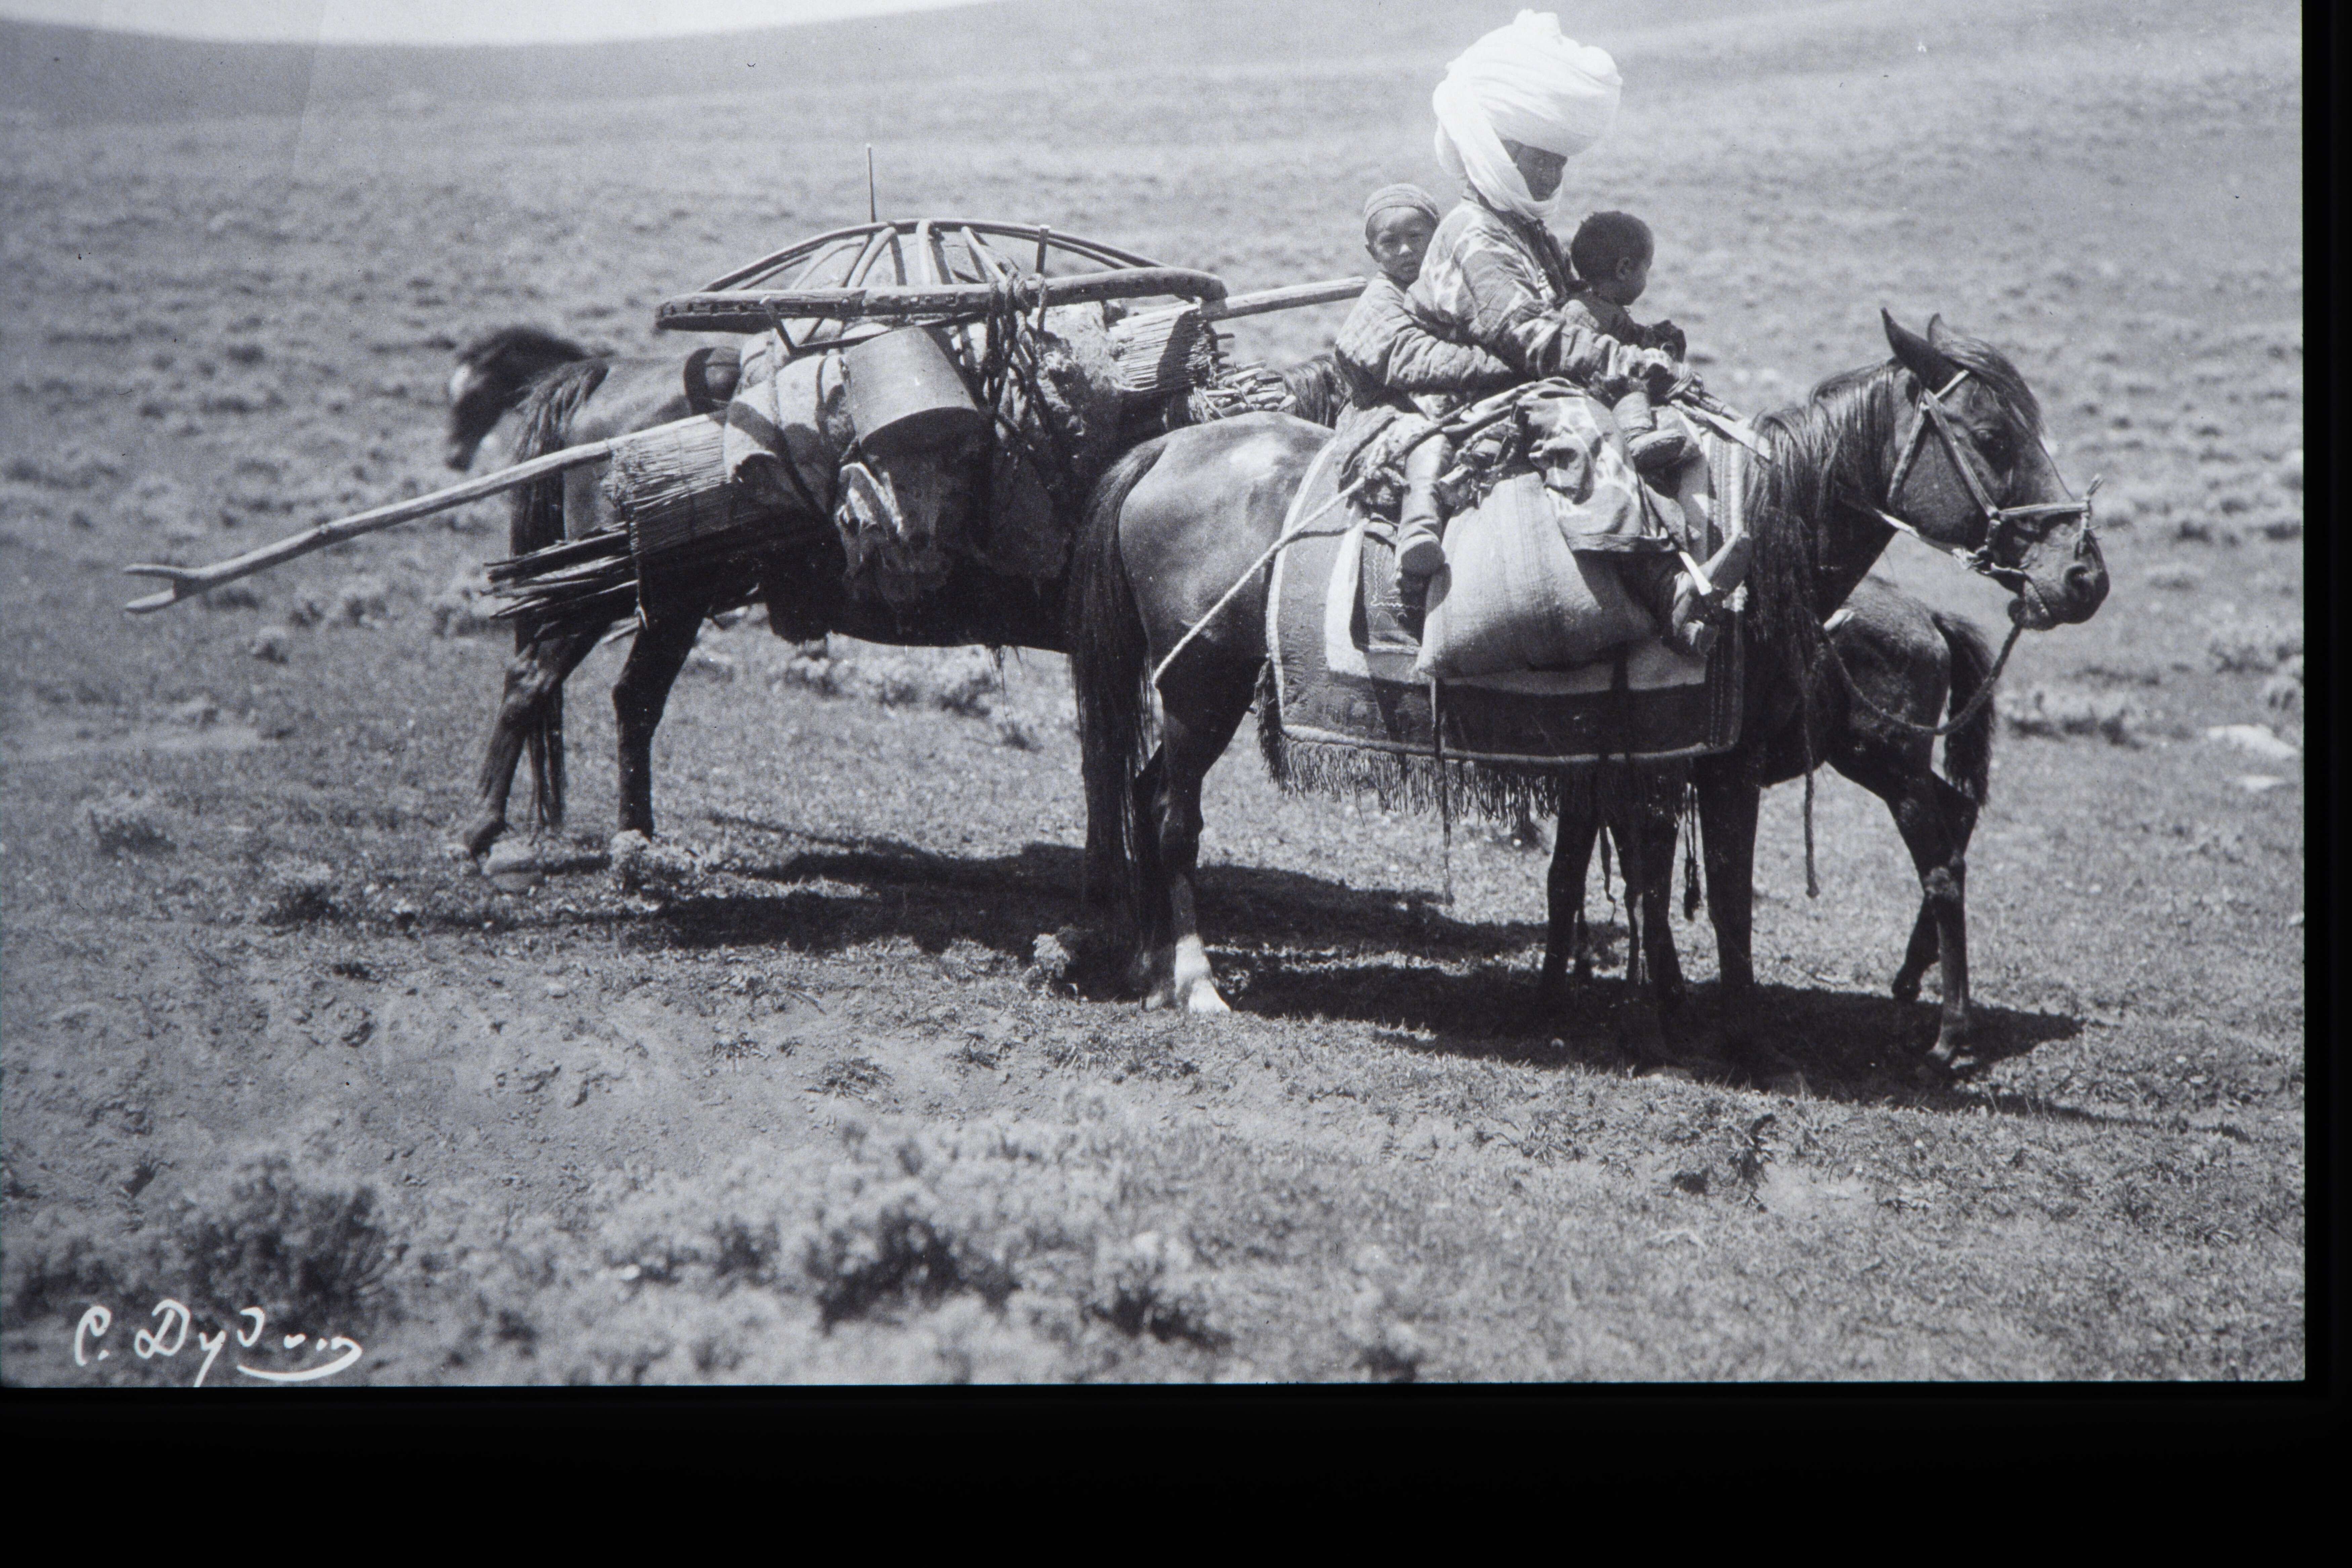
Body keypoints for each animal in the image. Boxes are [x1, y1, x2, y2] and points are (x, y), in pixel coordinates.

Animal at [1540, 575, 2000, 1071]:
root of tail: (1929, 616)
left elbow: (1632, 888)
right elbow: (1578, 877)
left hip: (1894, 768)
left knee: (1942, 867)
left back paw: (1949, 1036)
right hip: (1871, 761)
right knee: (1961, 809)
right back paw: (1914, 973)